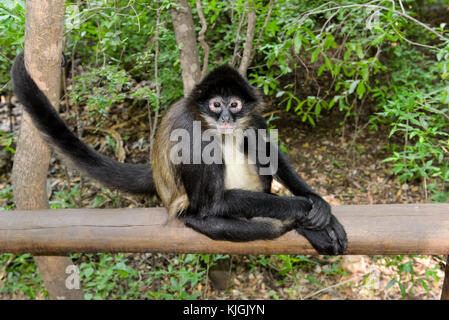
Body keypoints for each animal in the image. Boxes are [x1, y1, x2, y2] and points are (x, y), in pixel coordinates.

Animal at [10, 51, 346, 254]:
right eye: (215, 104)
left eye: (234, 104)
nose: (226, 117)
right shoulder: (193, 134)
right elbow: (213, 204)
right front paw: (303, 209)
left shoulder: (252, 117)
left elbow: (267, 148)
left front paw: (318, 202)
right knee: (212, 218)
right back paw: (292, 225)